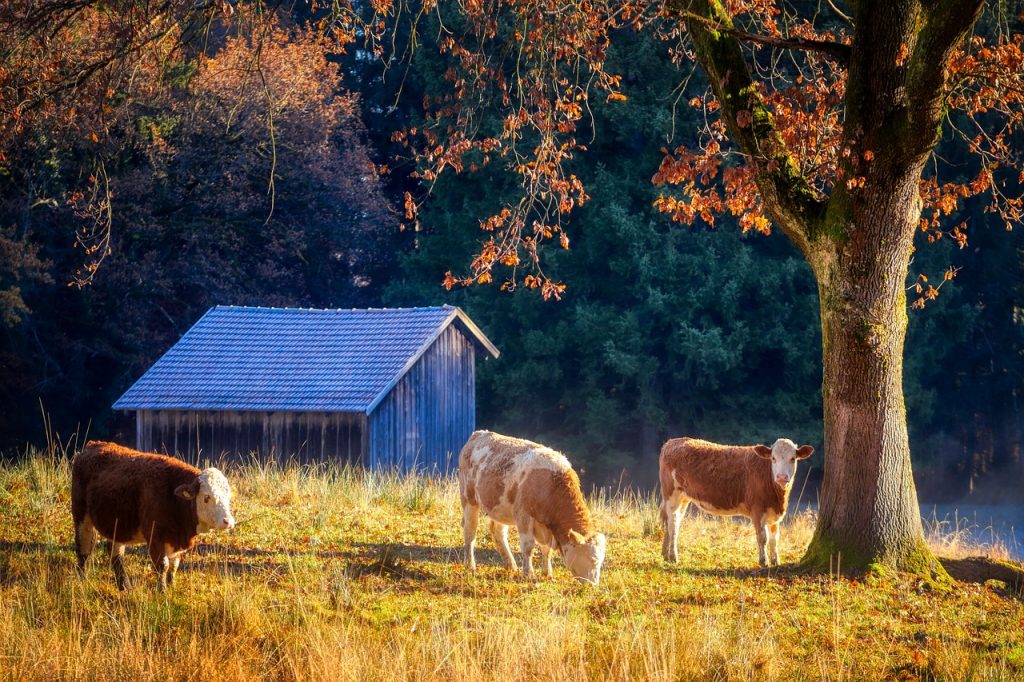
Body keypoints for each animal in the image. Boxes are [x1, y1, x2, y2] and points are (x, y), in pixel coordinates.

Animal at [71, 441, 235, 590]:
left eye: (228, 496)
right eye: (207, 497)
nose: (228, 521)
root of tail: (93, 444)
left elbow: (174, 566)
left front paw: (171, 587)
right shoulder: (154, 536)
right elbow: (163, 565)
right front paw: (162, 591)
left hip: (117, 524)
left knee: (115, 552)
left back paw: (124, 585)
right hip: (81, 515)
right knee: (84, 547)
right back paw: (83, 580)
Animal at [458, 430, 607, 585]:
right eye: (593, 559)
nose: (593, 584)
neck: (551, 484)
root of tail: (479, 434)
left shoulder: (545, 525)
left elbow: (546, 549)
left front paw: (547, 573)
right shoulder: (524, 516)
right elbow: (529, 547)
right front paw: (529, 574)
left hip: (500, 508)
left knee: (498, 532)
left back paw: (510, 565)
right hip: (468, 498)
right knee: (470, 531)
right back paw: (470, 565)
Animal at [659, 437, 814, 568]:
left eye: (793, 459)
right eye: (773, 458)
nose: (781, 477)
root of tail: (673, 441)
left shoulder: (774, 514)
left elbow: (774, 539)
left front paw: (776, 562)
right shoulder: (757, 510)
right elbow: (762, 537)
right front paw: (764, 562)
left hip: (684, 497)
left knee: (673, 521)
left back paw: (665, 554)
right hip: (672, 494)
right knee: (673, 524)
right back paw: (673, 557)